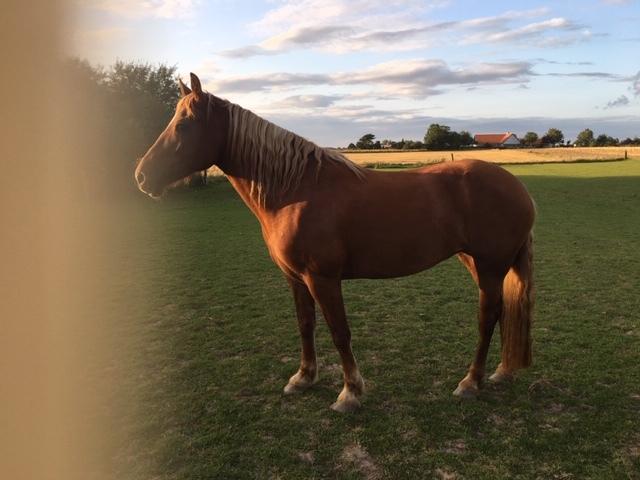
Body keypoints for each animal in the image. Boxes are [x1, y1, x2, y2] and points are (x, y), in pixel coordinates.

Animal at [136, 74, 536, 412]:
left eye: (183, 124)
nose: (141, 176)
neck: (296, 191)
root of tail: (517, 187)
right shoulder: (295, 277)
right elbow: (305, 325)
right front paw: (303, 378)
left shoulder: (323, 278)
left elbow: (339, 331)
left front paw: (350, 393)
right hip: (476, 262)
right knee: (501, 311)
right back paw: (499, 372)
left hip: (489, 265)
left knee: (487, 315)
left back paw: (470, 382)